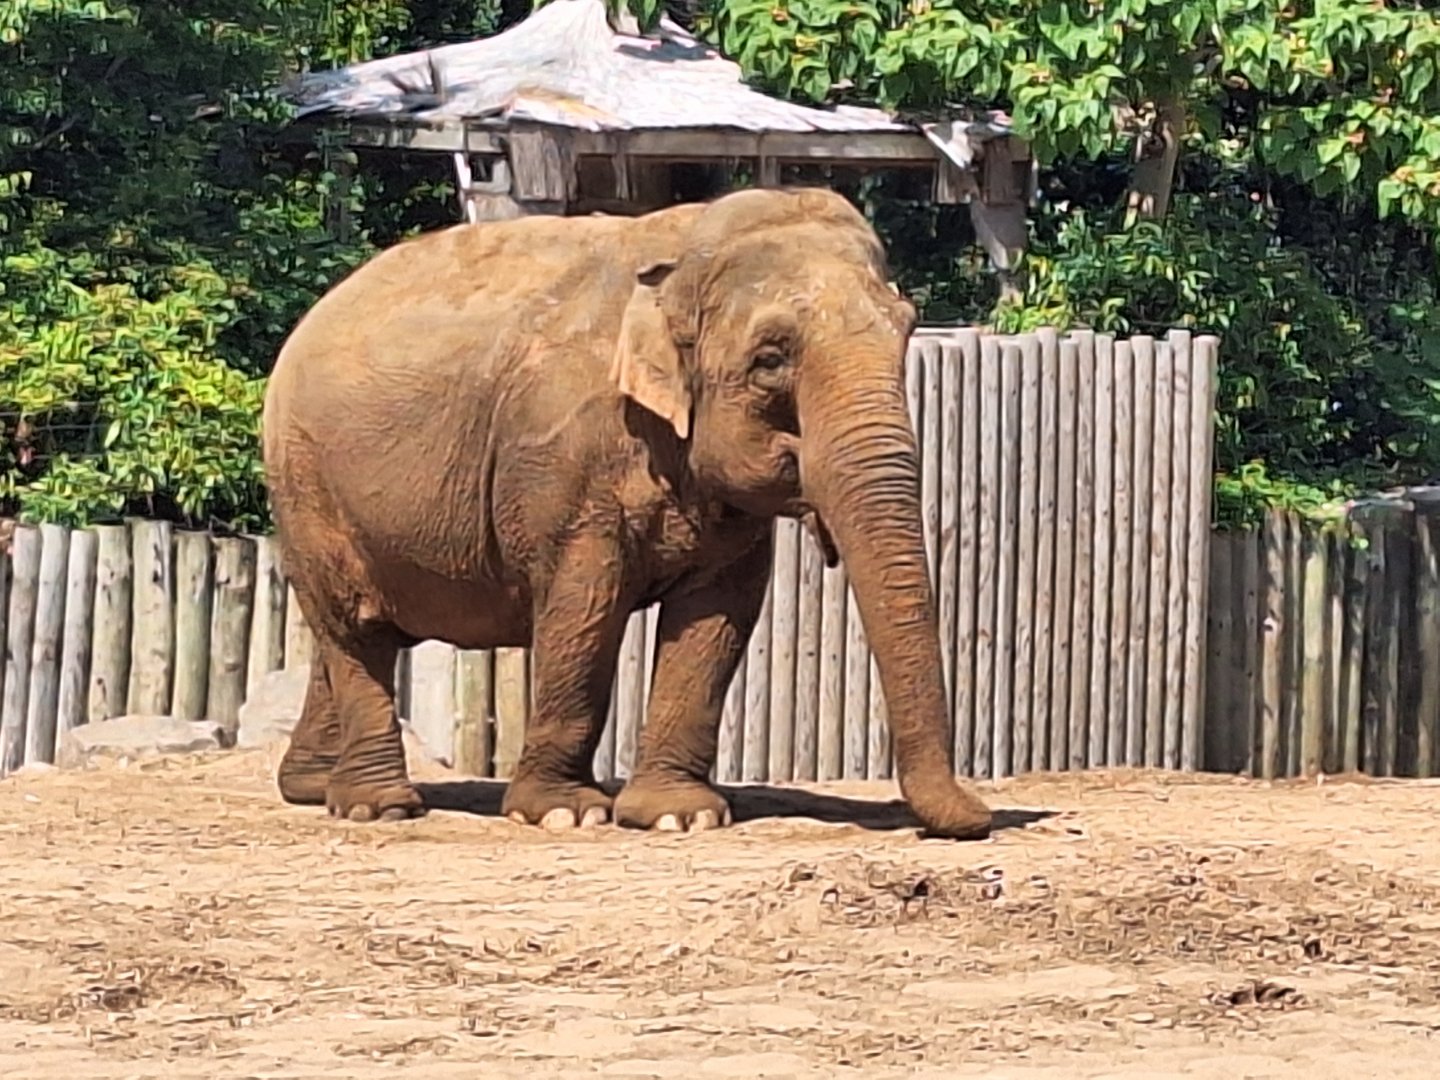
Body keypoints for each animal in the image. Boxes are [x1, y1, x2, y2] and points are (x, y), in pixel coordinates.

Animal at [261, 185, 993, 840]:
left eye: (905, 332)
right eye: (769, 359)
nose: (980, 819)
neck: (683, 245)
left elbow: (718, 617)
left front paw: (677, 816)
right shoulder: (562, 453)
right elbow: (585, 605)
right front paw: (564, 814)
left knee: (354, 636)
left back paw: (311, 787)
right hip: (306, 486)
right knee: (355, 628)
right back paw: (376, 806)